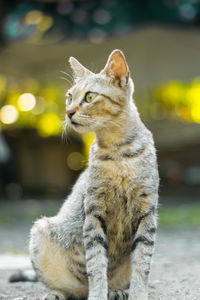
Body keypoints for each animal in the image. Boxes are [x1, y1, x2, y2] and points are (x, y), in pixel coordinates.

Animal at [28, 49, 159, 300]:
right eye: (69, 97)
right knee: (73, 288)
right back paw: (59, 293)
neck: (118, 152)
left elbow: (142, 264)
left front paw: (138, 294)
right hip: (40, 231)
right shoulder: (94, 213)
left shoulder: (147, 212)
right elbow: (96, 263)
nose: (68, 112)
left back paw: (116, 290)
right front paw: (98, 294)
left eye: (89, 97)